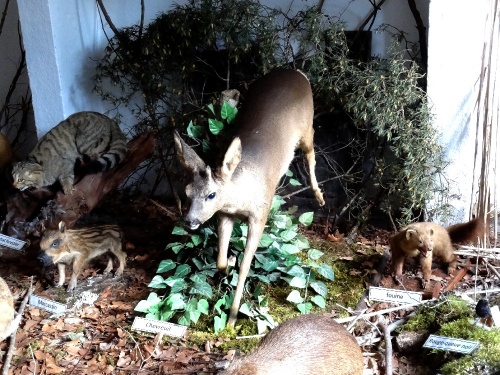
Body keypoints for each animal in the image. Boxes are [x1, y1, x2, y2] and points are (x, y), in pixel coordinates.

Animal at [174, 70, 326, 326]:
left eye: (212, 194)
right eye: (186, 192)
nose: (190, 221)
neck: (240, 198)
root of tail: (295, 72)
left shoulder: (260, 214)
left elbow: (246, 265)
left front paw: (232, 318)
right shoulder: (225, 214)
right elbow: (220, 260)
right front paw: (229, 263)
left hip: (306, 122)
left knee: (312, 149)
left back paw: (320, 196)